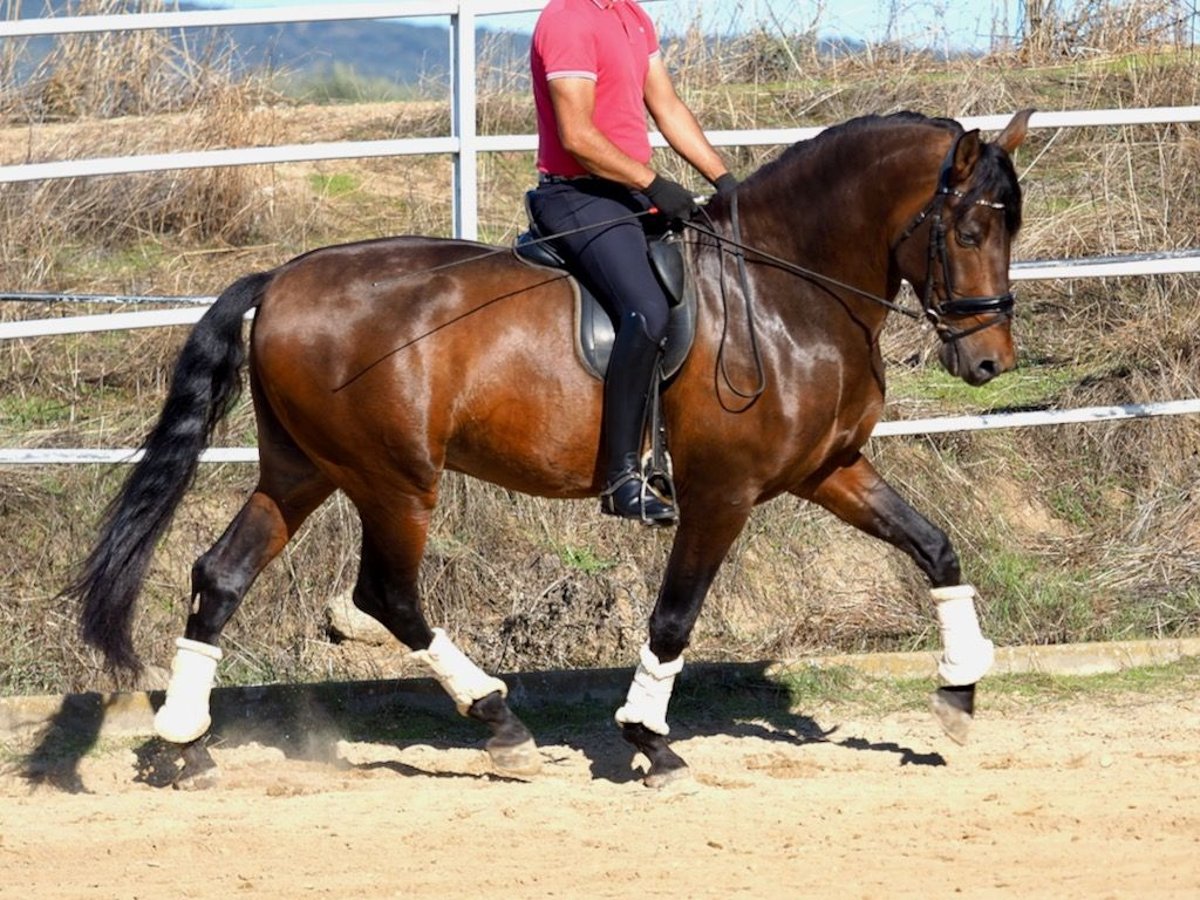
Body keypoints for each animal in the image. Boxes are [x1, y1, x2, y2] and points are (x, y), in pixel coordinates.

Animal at [68, 111, 1032, 787]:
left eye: (1008, 228)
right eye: (969, 231)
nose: (989, 362)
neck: (784, 291)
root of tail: (281, 280)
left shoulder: (829, 469)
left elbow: (934, 545)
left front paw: (959, 689)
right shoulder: (722, 493)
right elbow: (675, 616)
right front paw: (648, 741)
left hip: (302, 470)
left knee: (222, 574)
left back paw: (184, 744)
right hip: (394, 480)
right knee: (387, 595)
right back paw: (500, 724)